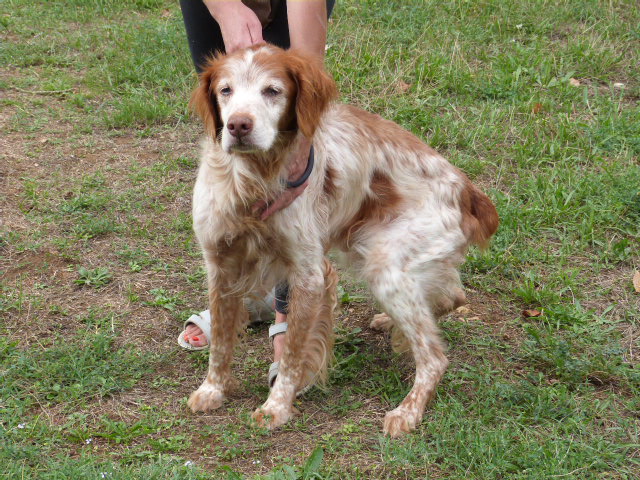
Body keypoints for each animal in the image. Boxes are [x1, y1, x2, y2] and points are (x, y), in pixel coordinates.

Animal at [188, 43, 498, 436]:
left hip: (385, 265)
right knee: (453, 295)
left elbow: (292, 354)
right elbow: (221, 342)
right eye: (225, 90)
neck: (254, 179)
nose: (238, 125)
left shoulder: (309, 274)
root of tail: (467, 189)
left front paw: (277, 407)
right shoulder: (220, 264)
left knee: (434, 356)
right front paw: (212, 389)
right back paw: (390, 322)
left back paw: (406, 412)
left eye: (272, 91)